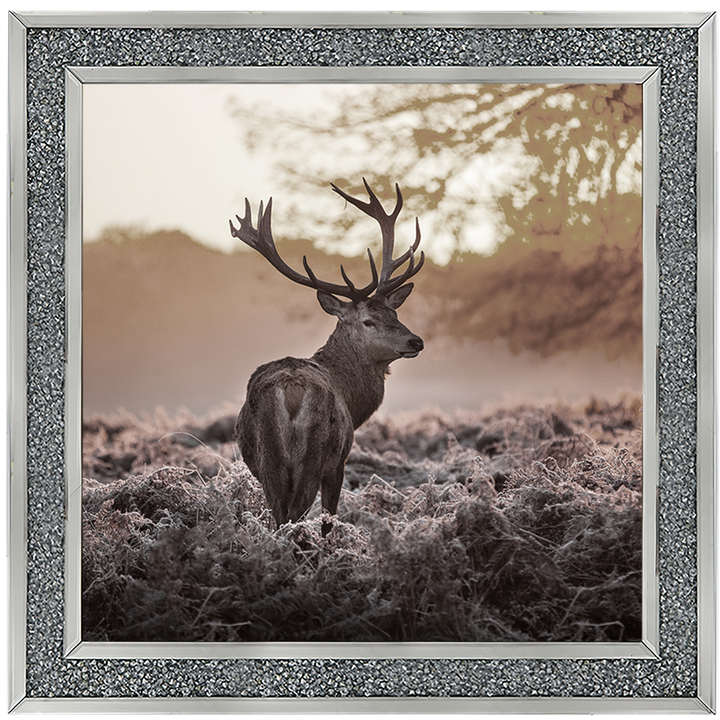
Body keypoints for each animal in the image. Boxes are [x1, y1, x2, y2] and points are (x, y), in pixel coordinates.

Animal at [230, 179, 425, 537]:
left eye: (394, 313)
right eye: (368, 321)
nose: (415, 340)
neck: (352, 399)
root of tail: (290, 390)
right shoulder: (339, 461)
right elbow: (329, 519)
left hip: (268, 459)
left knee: (279, 515)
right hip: (315, 453)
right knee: (295, 514)